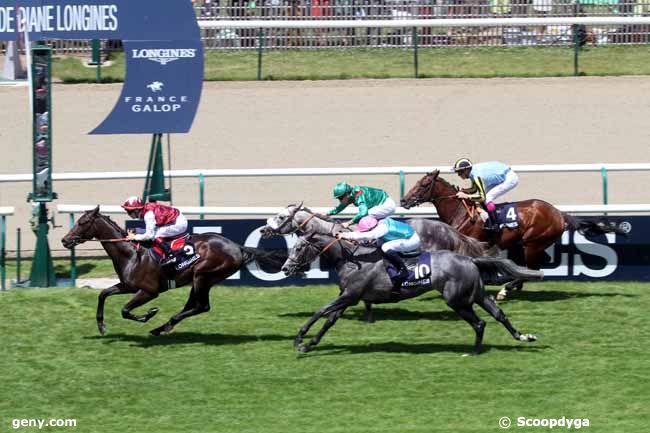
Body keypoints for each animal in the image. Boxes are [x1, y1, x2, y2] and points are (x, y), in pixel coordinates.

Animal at [61, 205, 286, 334]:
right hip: (199, 280)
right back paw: (163, 327)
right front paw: (101, 326)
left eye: (82, 222)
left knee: (202, 306)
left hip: (203, 276)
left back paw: (164, 326)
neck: (131, 253)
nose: (64, 240)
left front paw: (149, 314)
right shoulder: (128, 285)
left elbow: (125, 310)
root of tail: (237, 247)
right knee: (193, 306)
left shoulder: (149, 291)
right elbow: (103, 294)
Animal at [280, 233, 540, 354]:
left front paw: (299, 338)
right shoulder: (348, 297)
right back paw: (523, 336)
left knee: (480, 322)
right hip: (477, 294)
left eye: (299, 247)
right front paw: (309, 344)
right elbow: (329, 320)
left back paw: (474, 351)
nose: (285, 268)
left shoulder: (350, 296)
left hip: (456, 300)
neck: (353, 260)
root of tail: (469, 259)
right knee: (498, 315)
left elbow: (321, 311)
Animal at [398, 170, 624, 298]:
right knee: (533, 268)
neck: (460, 211)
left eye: (423, 184)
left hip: (532, 243)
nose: (404, 200)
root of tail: (559, 213)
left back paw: (506, 289)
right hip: (534, 244)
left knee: (533, 269)